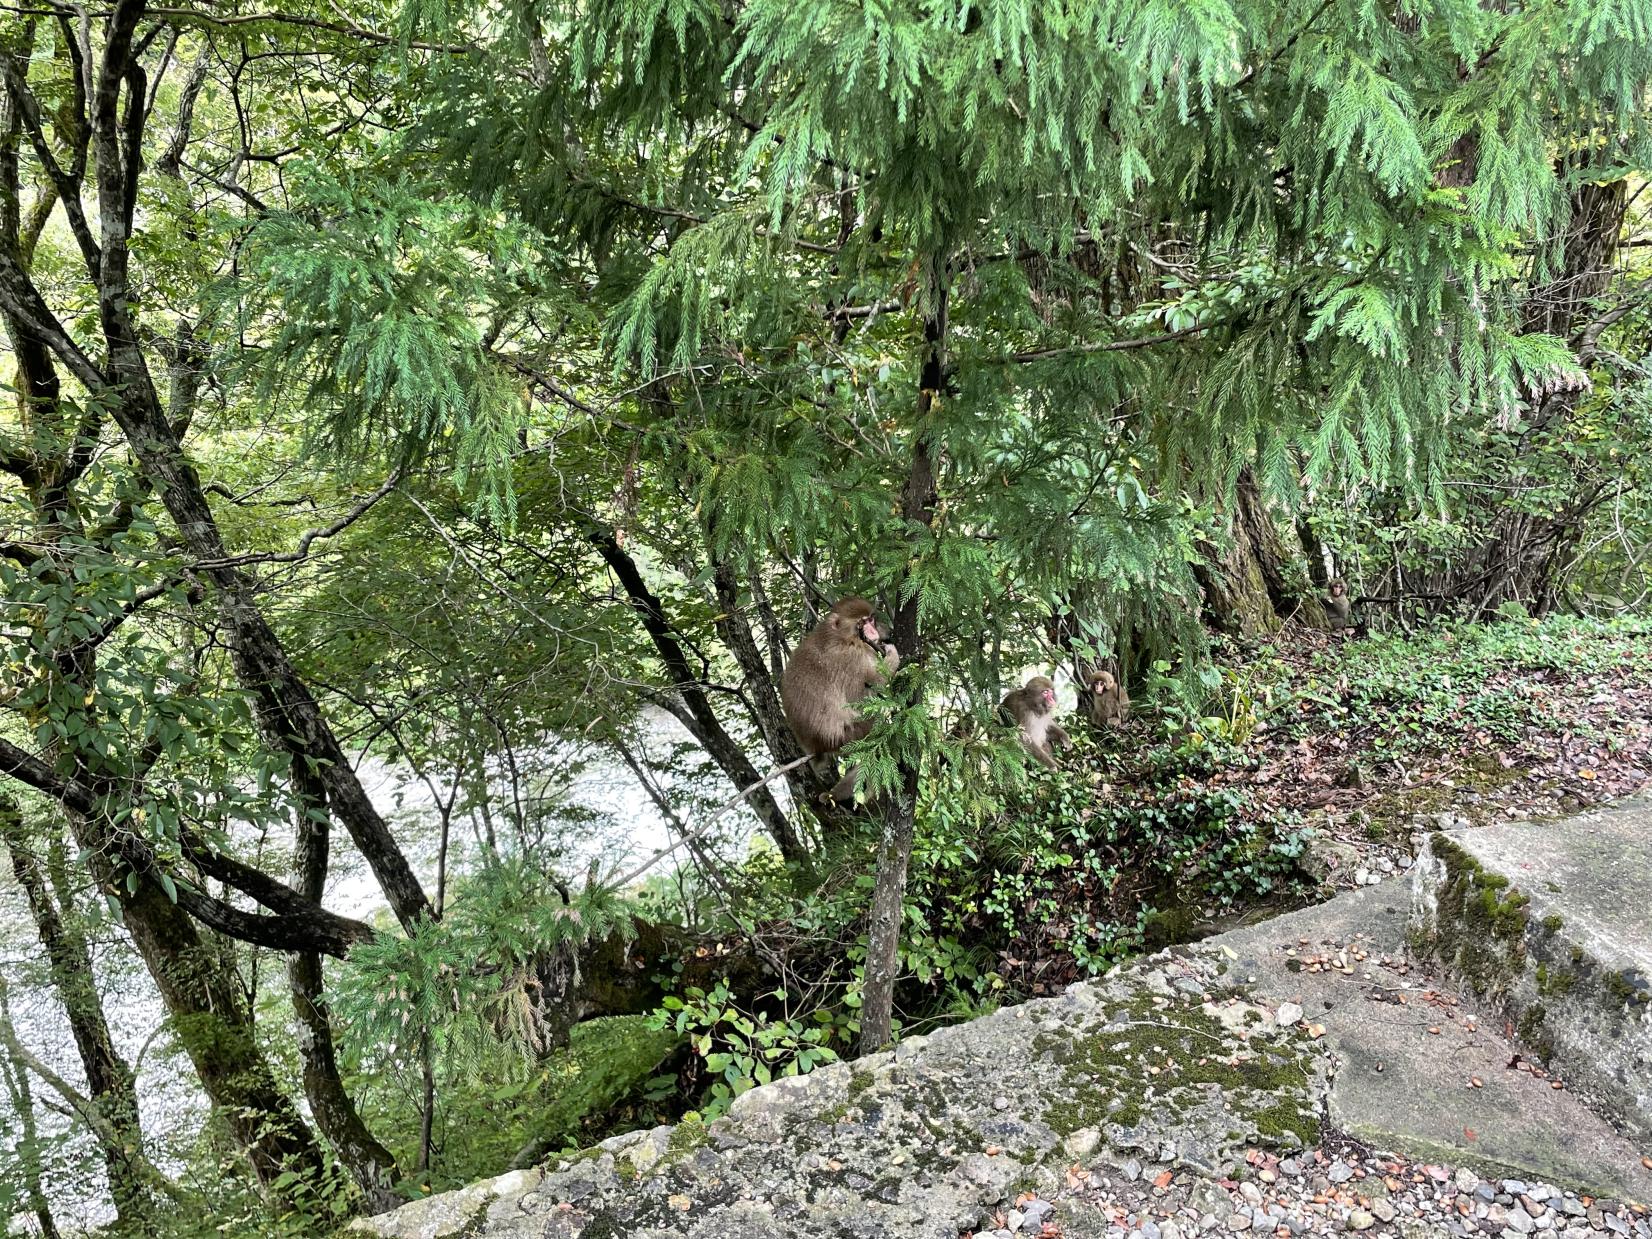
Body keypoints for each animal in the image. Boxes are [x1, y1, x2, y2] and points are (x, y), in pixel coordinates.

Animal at [783, 598, 905, 806]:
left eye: (871, 619)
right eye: (862, 622)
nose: (877, 630)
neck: (838, 636)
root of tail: (815, 744)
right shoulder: (854, 657)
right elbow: (870, 688)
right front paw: (892, 653)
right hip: (847, 735)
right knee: (877, 743)